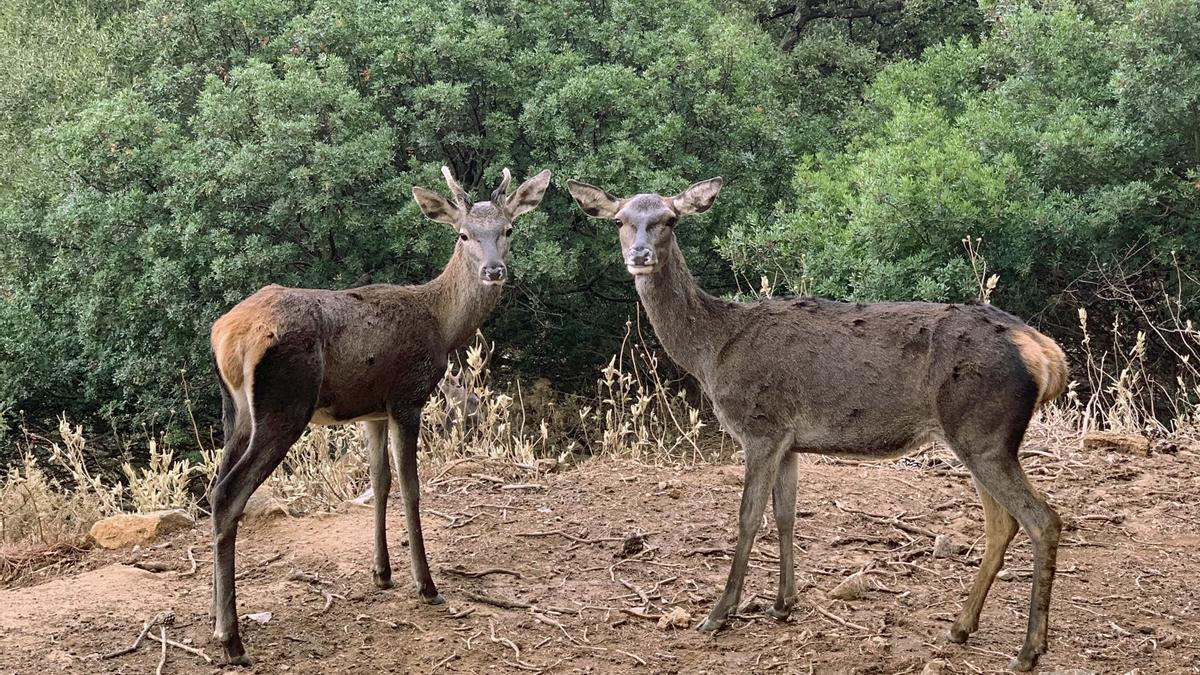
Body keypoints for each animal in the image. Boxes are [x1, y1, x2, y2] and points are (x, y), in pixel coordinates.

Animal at [211, 164, 552, 662]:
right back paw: (233, 640)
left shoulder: (371, 411)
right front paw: (426, 585)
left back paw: (215, 620)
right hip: (284, 405)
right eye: (464, 234)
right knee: (228, 494)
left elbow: (379, 482)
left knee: (213, 486)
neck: (441, 324)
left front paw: (383, 573)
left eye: (507, 229)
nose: (494, 270)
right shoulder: (407, 396)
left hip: (235, 412)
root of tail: (226, 335)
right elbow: (411, 487)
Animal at [568, 176, 1070, 667]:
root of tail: (1046, 353)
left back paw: (1028, 650)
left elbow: (748, 518)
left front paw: (719, 612)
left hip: (983, 430)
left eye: (670, 219)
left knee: (1043, 518)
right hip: (976, 436)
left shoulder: (760, 426)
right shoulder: (789, 441)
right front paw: (782, 604)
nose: (640, 255)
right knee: (1001, 524)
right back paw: (961, 627)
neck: (712, 352)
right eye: (620, 220)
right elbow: (785, 515)